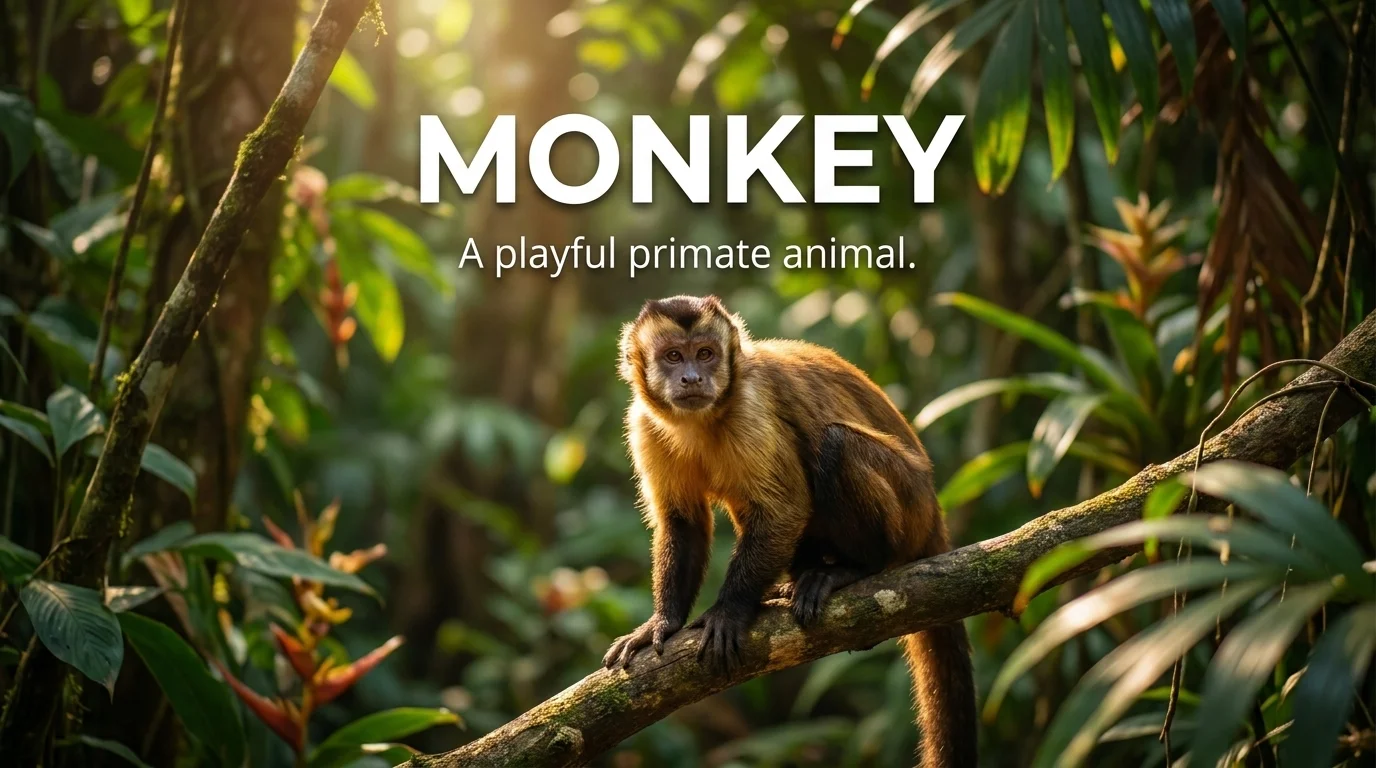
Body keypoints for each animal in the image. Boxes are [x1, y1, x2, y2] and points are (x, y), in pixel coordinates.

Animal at [602, 295, 977, 768]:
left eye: (705, 354)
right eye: (673, 356)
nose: (691, 377)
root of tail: (934, 517)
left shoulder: (750, 409)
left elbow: (784, 509)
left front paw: (729, 611)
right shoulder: (644, 424)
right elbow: (682, 522)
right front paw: (663, 623)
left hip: (911, 510)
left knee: (834, 445)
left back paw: (855, 569)